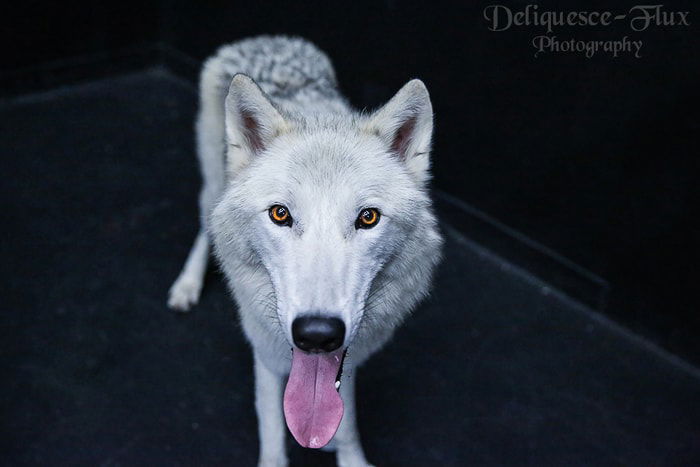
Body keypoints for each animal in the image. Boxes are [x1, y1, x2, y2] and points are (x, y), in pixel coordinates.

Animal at [169, 36, 440, 467]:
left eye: (367, 217)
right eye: (281, 214)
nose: (317, 334)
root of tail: (266, 39)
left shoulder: (349, 360)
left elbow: (346, 424)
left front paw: (345, 452)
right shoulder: (264, 353)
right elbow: (273, 432)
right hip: (212, 183)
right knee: (204, 226)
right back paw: (186, 286)